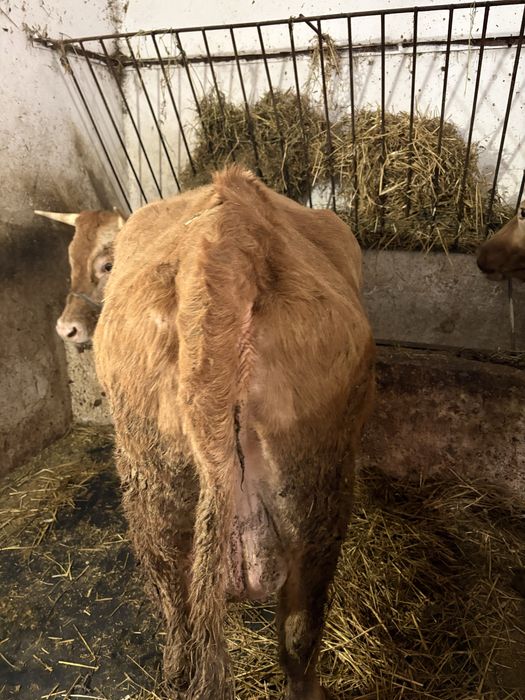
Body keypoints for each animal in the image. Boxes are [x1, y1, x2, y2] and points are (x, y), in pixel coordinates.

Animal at [93, 166, 376, 699]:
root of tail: (223, 245)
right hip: (319, 498)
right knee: (297, 637)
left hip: (156, 492)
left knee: (180, 617)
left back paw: (175, 670)